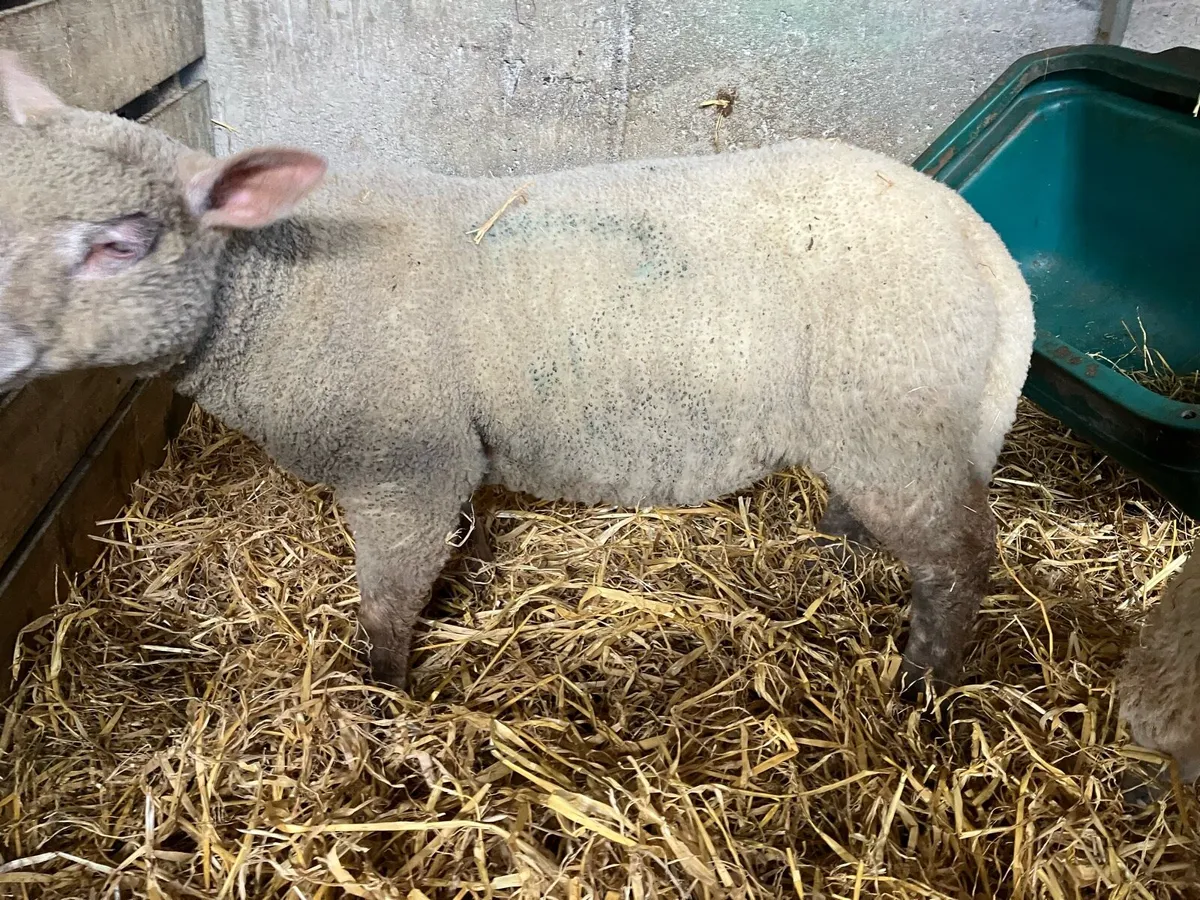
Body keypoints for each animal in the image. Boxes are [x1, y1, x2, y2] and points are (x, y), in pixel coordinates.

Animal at [0, 52, 1035, 692]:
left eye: (123, 243)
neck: (277, 294)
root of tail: (983, 244)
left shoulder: (405, 471)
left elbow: (387, 605)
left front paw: (386, 695)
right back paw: (838, 550)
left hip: (893, 417)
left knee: (959, 559)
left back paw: (922, 686)